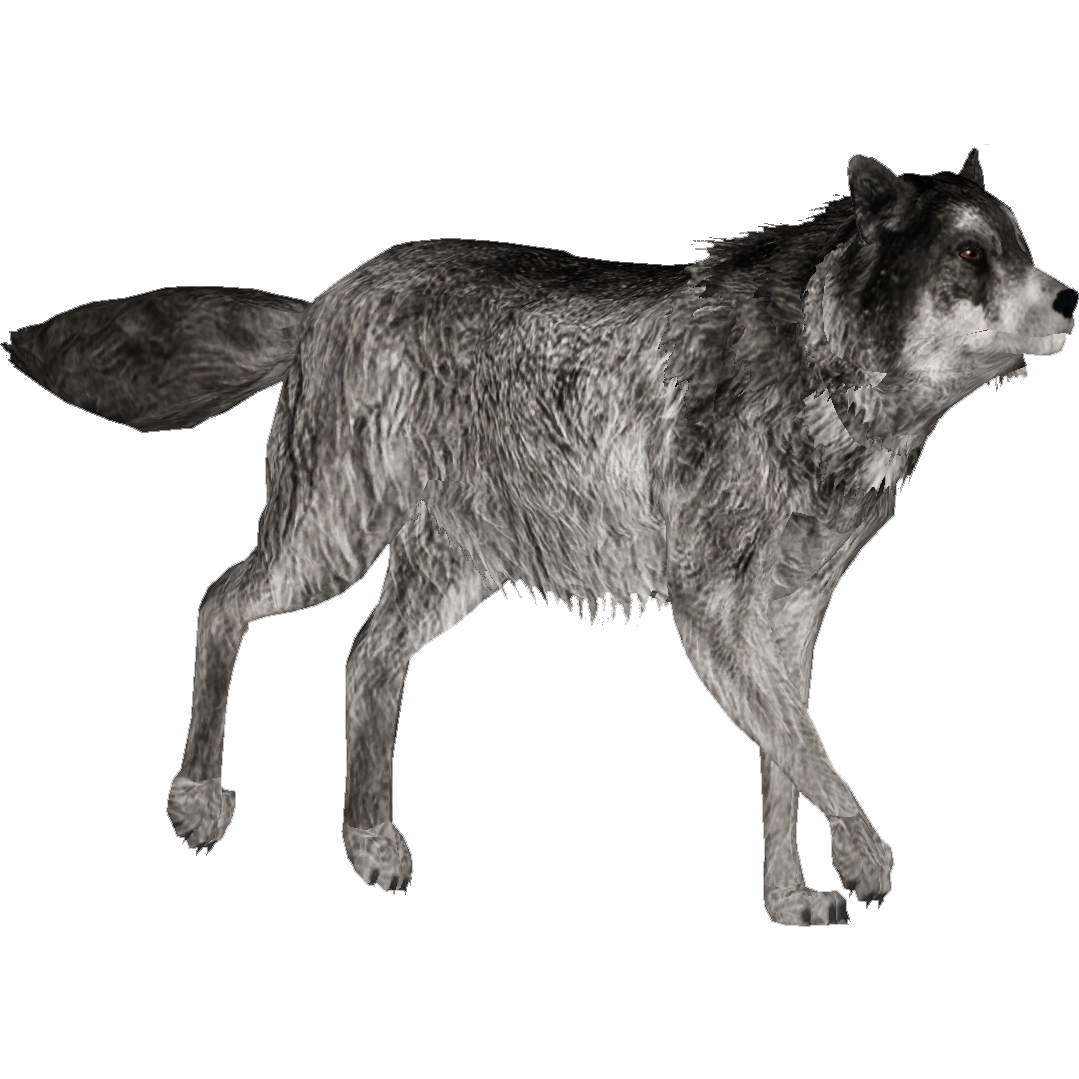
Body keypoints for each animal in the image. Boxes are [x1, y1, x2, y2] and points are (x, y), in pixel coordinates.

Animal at [7, 149, 1074, 924]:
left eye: (1022, 246)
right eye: (969, 255)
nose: (1068, 298)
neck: (821, 372)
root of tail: (324, 300)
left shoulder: (789, 624)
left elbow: (786, 754)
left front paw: (788, 898)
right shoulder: (711, 617)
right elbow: (811, 752)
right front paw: (861, 859)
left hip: (450, 576)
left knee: (365, 659)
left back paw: (370, 843)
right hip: (328, 542)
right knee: (221, 600)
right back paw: (197, 798)